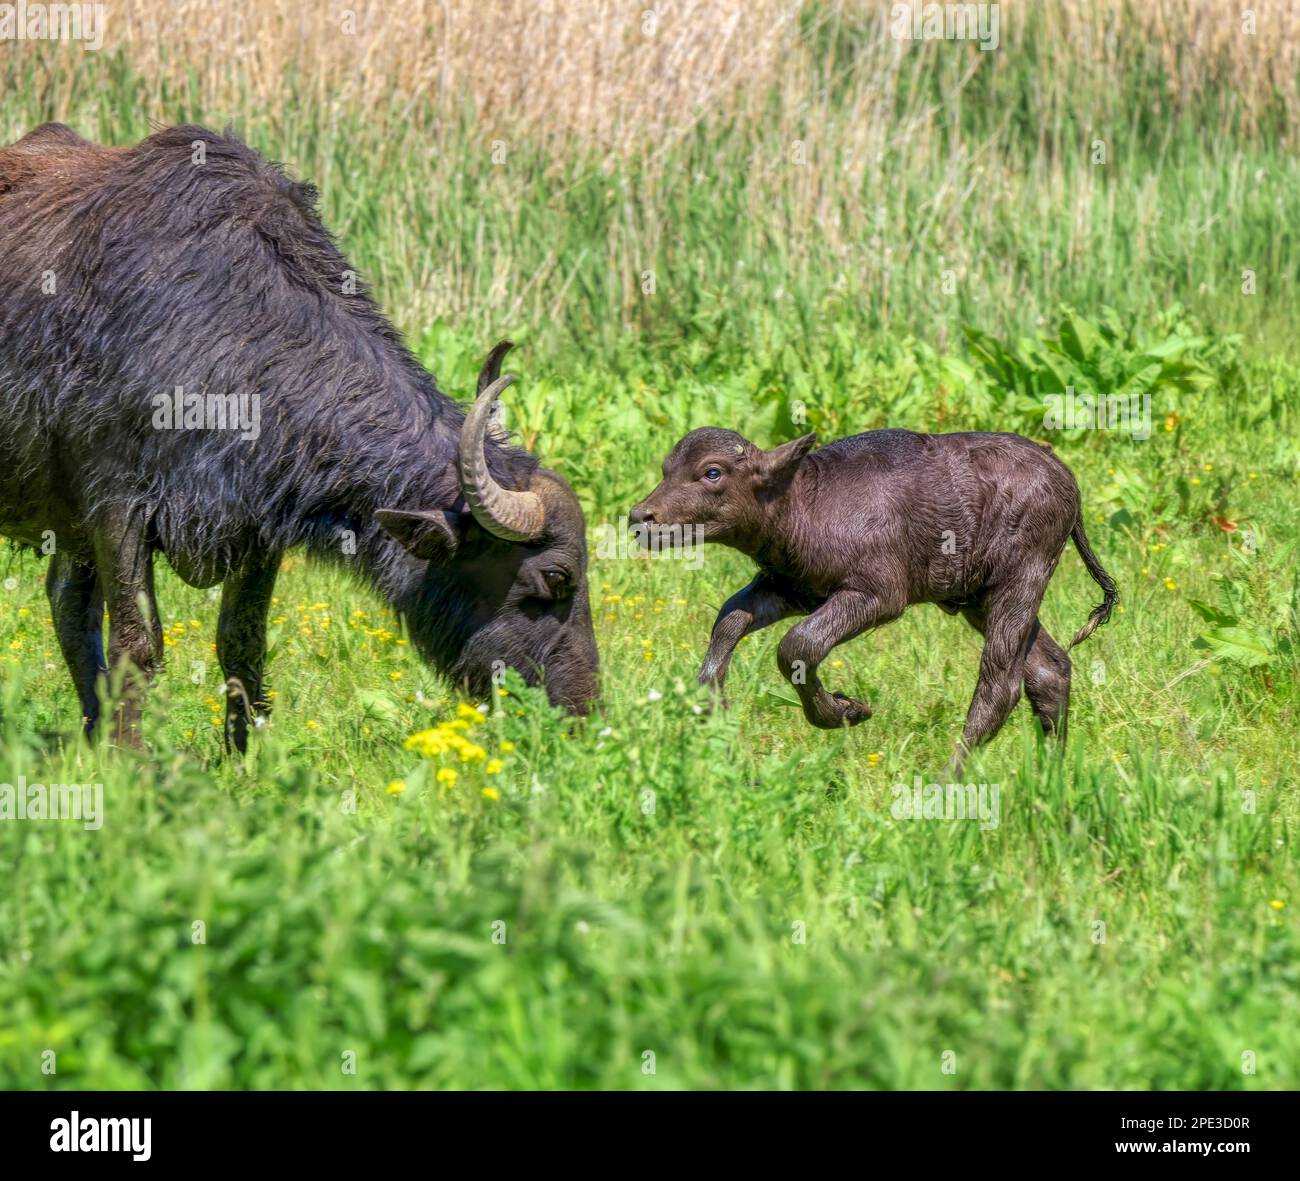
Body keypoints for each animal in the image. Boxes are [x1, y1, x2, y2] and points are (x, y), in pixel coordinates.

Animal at [0, 119, 598, 749]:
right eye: (555, 576)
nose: (583, 713)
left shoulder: (258, 531)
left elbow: (241, 639)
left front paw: (243, 753)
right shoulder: (118, 509)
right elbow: (137, 644)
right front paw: (131, 756)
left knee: (67, 602)